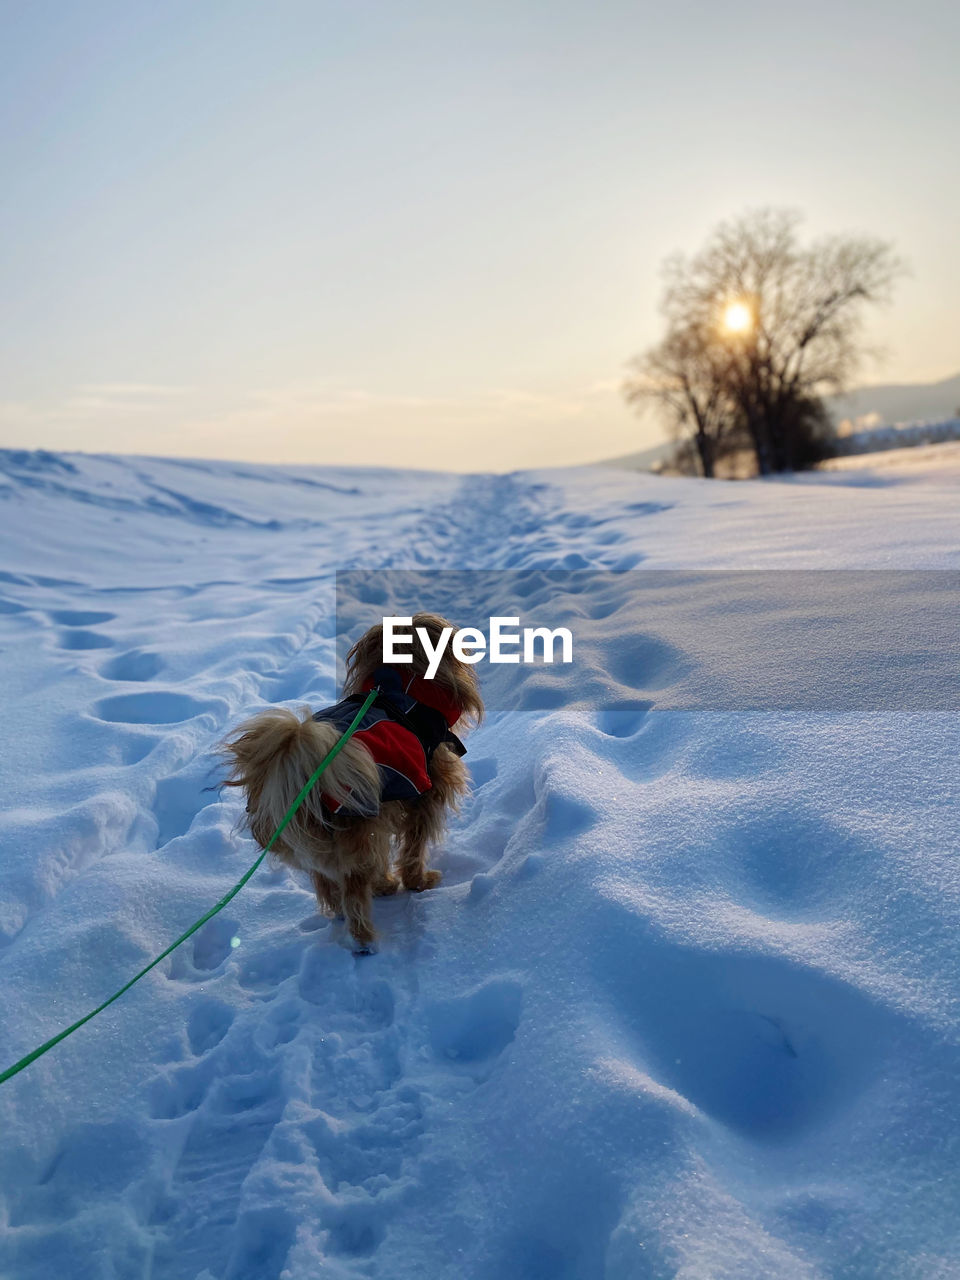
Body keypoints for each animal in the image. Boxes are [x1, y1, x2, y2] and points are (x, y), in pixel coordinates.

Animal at [221, 609, 483, 952]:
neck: (400, 689)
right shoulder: (423, 797)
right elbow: (414, 847)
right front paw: (418, 883)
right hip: (358, 829)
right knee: (354, 889)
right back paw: (366, 939)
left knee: (328, 886)